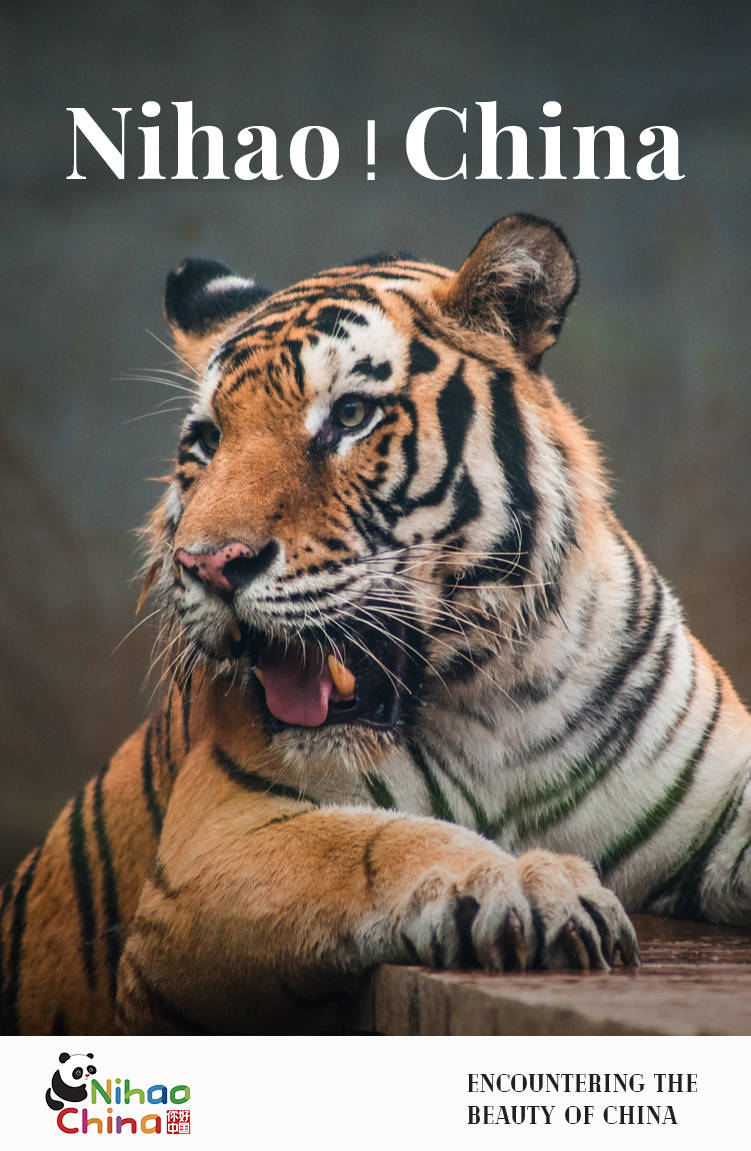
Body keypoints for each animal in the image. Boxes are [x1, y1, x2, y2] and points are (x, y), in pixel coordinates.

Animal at [2, 212, 751, 1036]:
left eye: (350, 416)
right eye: (206, 442)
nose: (208, 563)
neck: (497, 693)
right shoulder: (216, 832)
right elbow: (376, 840)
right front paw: (528, 884)